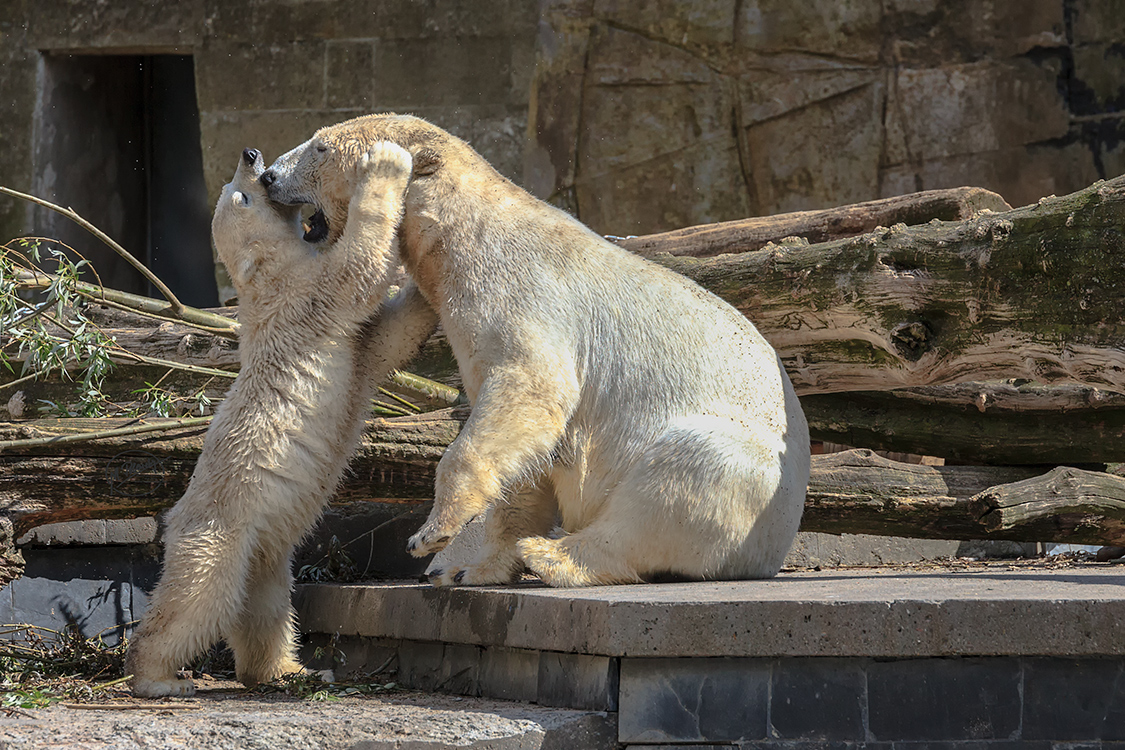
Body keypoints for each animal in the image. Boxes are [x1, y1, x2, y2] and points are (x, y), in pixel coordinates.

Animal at [125, 142, 436, 697]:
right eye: (243, 197)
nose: (250, 155)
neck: (265, 284)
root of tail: (175, 521)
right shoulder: (307, 299)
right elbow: (358, 268)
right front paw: (384, 163)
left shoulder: (339, 336)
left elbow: (388, 338)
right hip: (222, 529)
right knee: (198, 599)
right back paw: (159, 678)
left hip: (263, 548)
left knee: (266, 607)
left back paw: (289, 669)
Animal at [261, 114, 810, 589]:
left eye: (320, 146)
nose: (267, 175)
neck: (463, 235)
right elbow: (529, 456)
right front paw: (470, 564)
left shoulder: (525, 296)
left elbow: (531, 389)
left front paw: (431, 536)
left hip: (749, 474)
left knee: (679, 477)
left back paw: (553, 555)